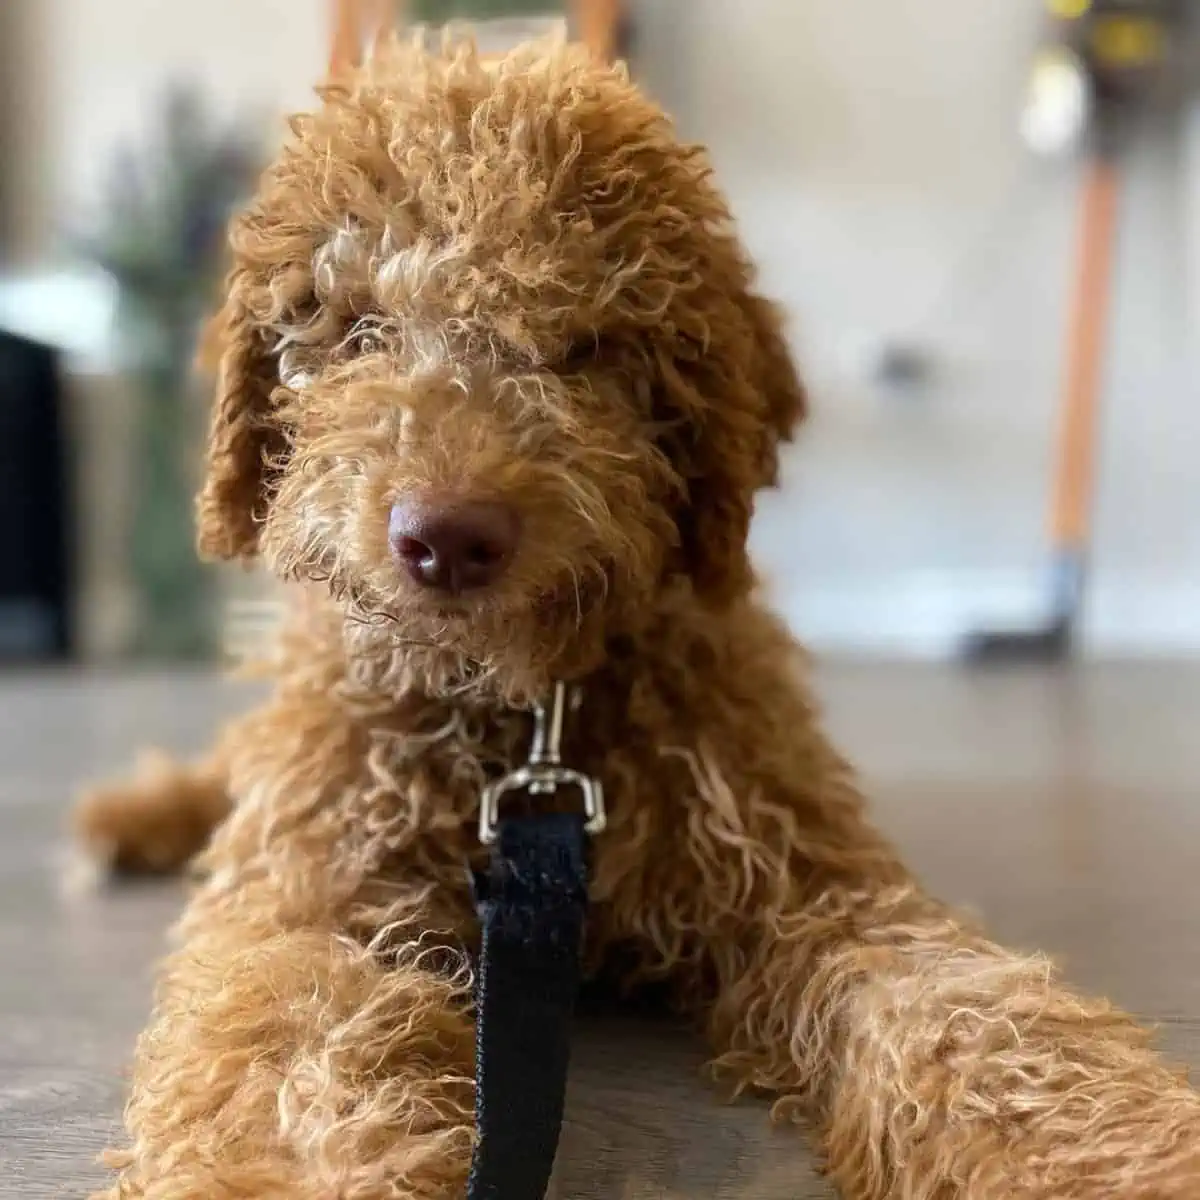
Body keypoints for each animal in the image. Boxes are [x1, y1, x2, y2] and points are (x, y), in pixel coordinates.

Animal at [75, 30, 1200, 1200]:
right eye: (360, 327)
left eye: (590, 344)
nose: (448, 538)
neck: (521, 724)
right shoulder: (318, 900)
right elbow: (295, 1054)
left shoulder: (814, 887)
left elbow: (973, 1020)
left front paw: (1114, 1158)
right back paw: (136, 814)